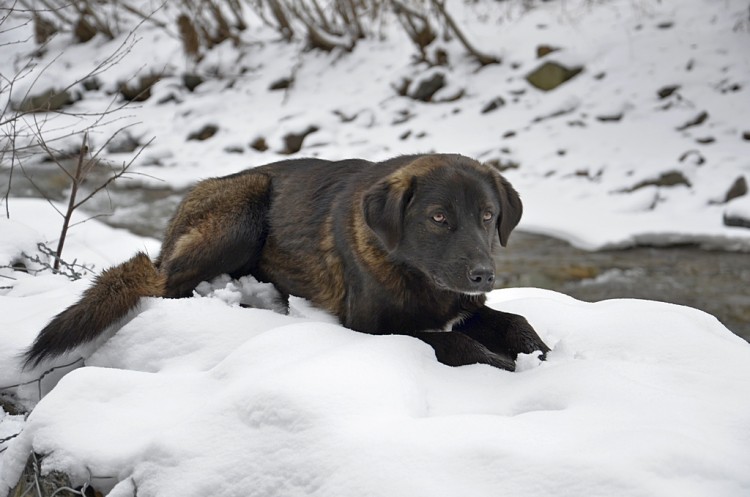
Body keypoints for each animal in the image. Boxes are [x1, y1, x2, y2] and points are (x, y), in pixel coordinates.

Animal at [25, 153, 552, 370]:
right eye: (439, 217)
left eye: (488, 216)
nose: (483, 274)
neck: (411, 270)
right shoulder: (374, 329)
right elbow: (459, 345)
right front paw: (506, 367)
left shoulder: (463, 307)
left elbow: (518, 322)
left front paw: (540, 353)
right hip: (247, 202)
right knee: (169, 288)